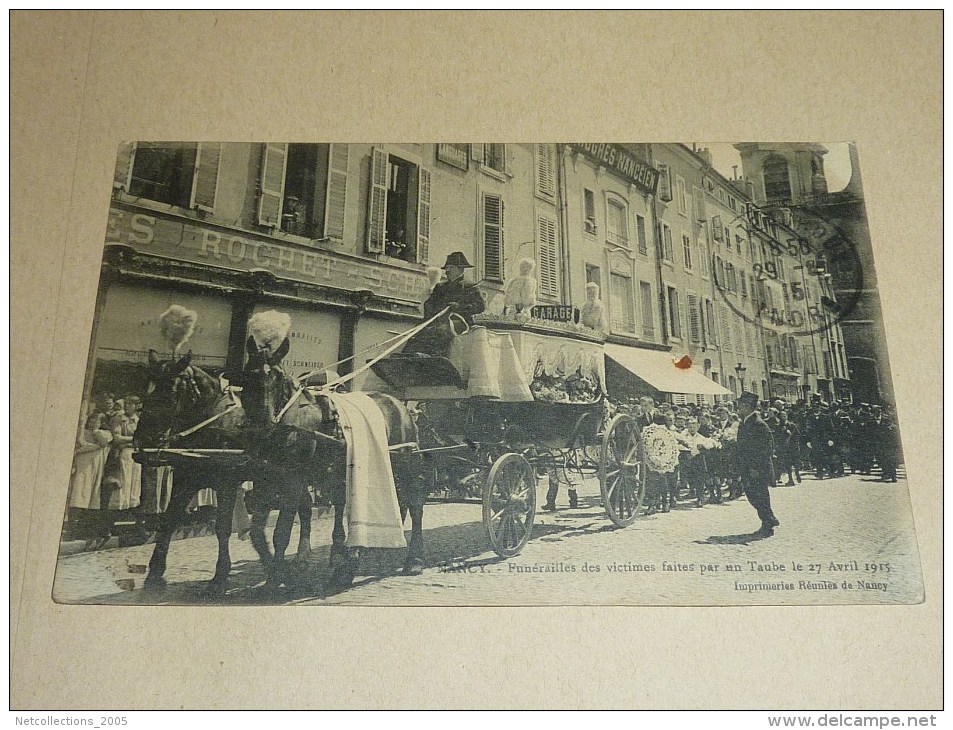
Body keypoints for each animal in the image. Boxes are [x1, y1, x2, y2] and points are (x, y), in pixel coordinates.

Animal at [133, 348, 312, 596]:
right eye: (146, 388)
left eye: (170, 390)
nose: (142, 442)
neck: (211, 422)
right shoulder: (185, 479)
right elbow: (169, 521)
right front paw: (155, 574)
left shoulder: (226, 483)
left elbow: (223, 528)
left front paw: (219, 577)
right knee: (305, 505)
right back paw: (300, 557)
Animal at [240, 336, 430, 584]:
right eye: (247, 374)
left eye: (278, 376)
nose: (262, 425)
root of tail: (400, 405)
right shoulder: (265, 478)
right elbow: (256, 532)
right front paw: (277, 570)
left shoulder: (293, 479)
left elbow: (281, 532)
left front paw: (279, 576)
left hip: (406, 460)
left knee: (415, 503)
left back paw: (414, 559)